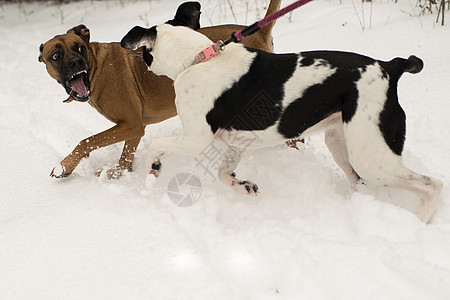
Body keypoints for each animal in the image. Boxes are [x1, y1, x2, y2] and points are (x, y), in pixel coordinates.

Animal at [41, 0, 282, 178]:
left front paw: (65, 166)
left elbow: (86, 141)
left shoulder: (130, 124)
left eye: (79, 48)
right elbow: (125, 158)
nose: (76, 63)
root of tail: (259, 32)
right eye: (56, 56)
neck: (97, 67)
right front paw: (118, 173)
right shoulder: (134, 129)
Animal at [122, 10, 442, 221]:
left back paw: (418, 223)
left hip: (372, 156)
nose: (140, 65)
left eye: (143, 55)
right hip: (341, 143)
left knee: (432, 186)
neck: (199, 58)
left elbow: (157, 145)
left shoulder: (196, 139)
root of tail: (390, 67)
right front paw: (244, 187)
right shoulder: (237, 144)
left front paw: (154, 167)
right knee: (359, 182)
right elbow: (225, 174)